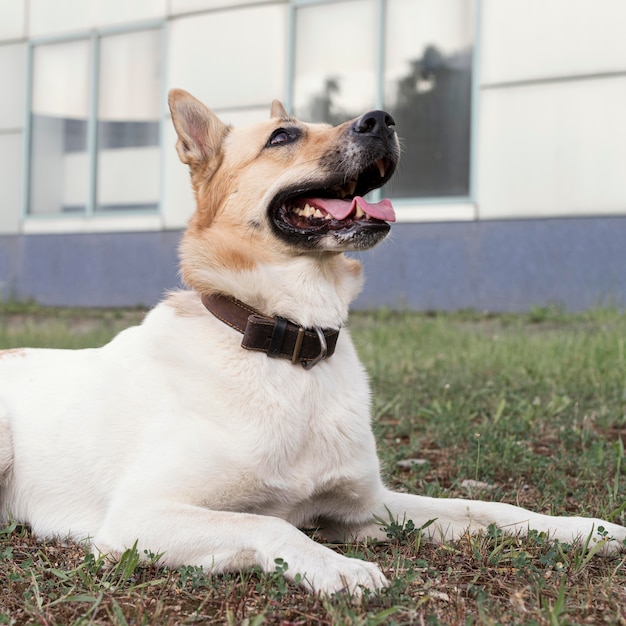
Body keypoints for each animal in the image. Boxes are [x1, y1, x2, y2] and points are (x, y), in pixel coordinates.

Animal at [0, 89, 620, 596]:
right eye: (283, 136)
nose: (383, 119)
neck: (292, 343)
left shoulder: (367, 506)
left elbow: (486, 506)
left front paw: (582, 528)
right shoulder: (139, 515)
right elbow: (268, 521)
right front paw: (337, 567)